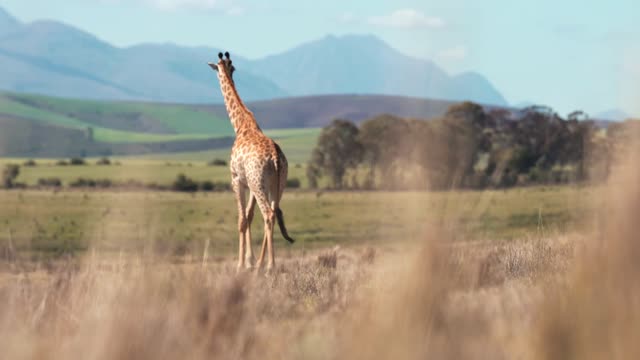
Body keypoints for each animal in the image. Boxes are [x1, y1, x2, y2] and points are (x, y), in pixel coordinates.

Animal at [208, 50, 296, 270]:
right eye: (229, 67)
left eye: (218, 69)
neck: (241, 124)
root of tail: (275, 156)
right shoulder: (250, 183)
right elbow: (249, 215)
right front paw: (251, 261)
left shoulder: (237, 179)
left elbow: (241, 219)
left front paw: (241, 264)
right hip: (276, 184)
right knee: (272, 212)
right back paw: (264, 264)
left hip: (258, 183)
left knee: (269, 214)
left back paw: (270, 266)